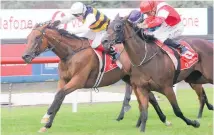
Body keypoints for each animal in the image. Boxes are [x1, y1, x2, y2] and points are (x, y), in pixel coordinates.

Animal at [21, 21, 171, 133]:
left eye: (37, 38)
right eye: (28, 38)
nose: (25, 56)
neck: (71, 54)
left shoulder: (78, 81)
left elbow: (59, 96)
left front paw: (45, 117)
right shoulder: (64, 80)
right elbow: (58, 98)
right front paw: (46, 125)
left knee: (149, 97)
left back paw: (163, 120)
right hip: (130, 79)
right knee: (150, 97)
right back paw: (151, 121)